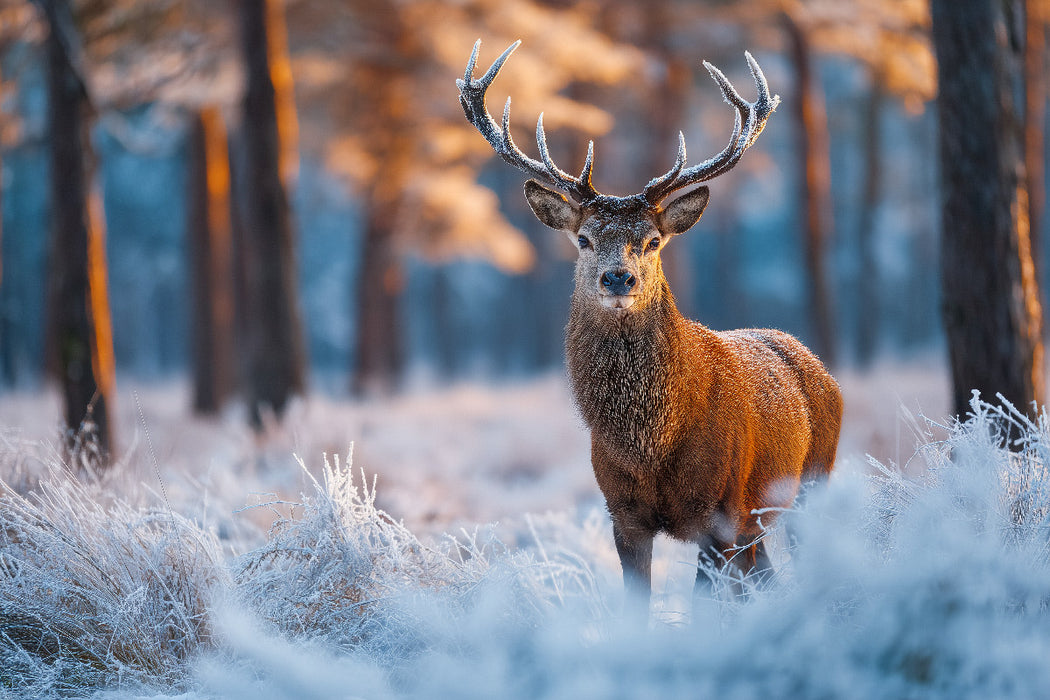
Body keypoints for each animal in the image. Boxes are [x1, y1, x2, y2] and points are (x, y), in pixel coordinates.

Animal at [457, 40, 843, 611]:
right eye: (584, 239)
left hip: (813, 478)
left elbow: (705, 604)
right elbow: (638, 602)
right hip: (762, 519)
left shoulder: (722, 511)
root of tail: (813, 361)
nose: (620, 278)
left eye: (653, 241)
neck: (651, 446)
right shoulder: (622, 514)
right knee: (763, 576)